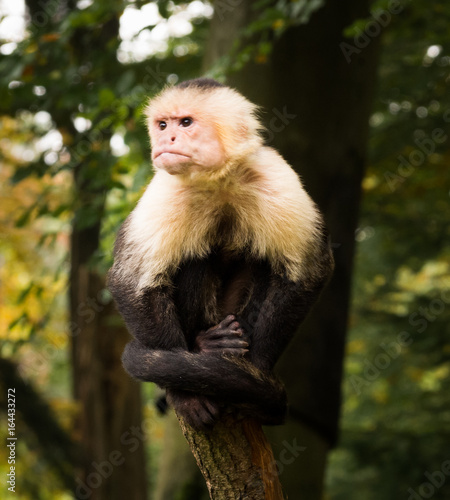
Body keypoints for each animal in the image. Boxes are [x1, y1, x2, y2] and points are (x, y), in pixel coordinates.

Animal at [108, 77, 334, 430]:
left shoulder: (273, 173)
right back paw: (203, 346)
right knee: (193, 257)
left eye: (186, 123)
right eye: (162, 125)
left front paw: (256, 375)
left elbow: (308, 271)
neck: (219, 179)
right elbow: (131, 281)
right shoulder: (167, 188)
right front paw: (183, 394)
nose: (167, 139)